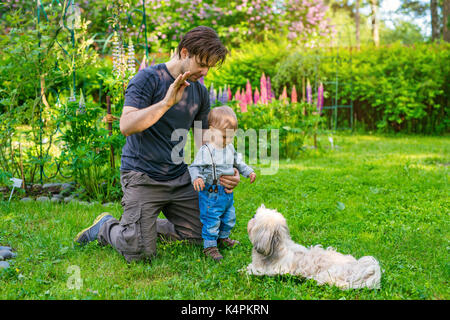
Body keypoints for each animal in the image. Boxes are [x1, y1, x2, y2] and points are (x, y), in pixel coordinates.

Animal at [248, 205, 382, 290]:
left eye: (255, 219)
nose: (253, 215)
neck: (277, 246)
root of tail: (357, 267)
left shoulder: (267, 270)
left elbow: (251, 270)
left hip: (328, 274)